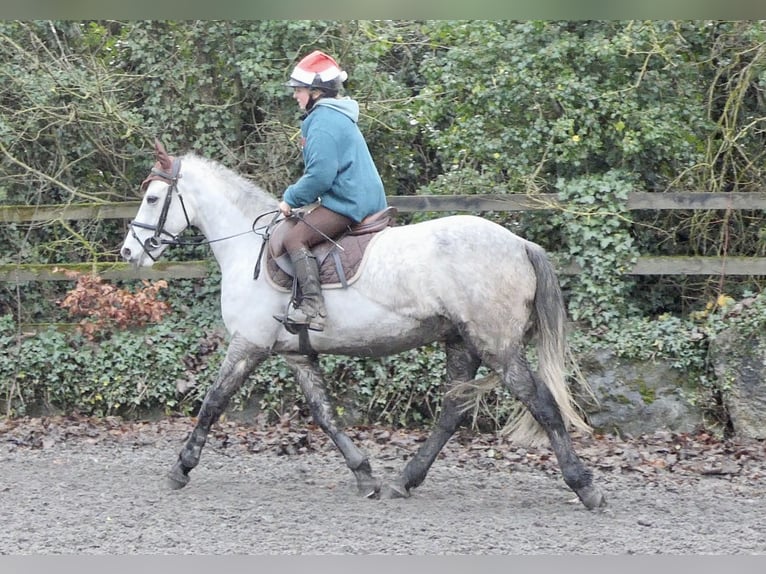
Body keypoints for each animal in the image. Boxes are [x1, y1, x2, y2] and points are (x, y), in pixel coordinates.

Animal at [119, 140, 606, 510]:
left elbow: (213, 402)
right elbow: (325, 415)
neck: (245, 246)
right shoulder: (297, 355)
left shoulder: (248, 344)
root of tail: (519, 243)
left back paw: (584, 487)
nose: (129, 252)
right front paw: (365, 474)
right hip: (461, 343)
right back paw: (403, 480)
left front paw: (180, 467)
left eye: (152, 198)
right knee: (451, 413)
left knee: (542, 405)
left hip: (497, 346)